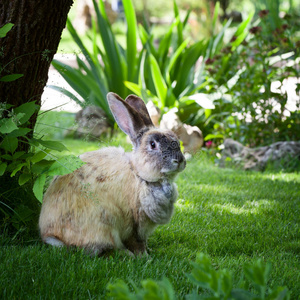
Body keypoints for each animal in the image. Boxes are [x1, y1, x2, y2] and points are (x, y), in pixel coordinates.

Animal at [38, 92, 185, 255]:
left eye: (177, 141)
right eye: (153, 145)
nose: (179, 160)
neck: (138, 174)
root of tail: (52, 235)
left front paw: (148, 251)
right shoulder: (135, 224)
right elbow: (136, 242)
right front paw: (143, 256)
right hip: (104, 223)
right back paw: (126, 254)